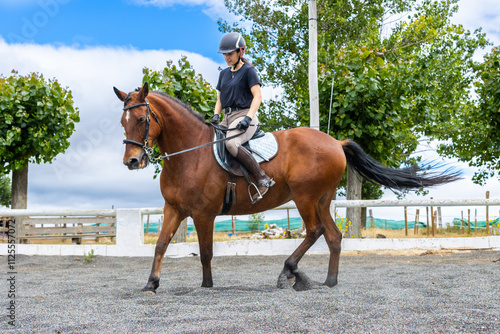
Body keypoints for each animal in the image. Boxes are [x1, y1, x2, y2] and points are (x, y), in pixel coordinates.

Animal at [114, 83, 460, 292]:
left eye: (142, 118)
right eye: (122, 122)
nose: (132, 161)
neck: (190, 153)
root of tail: (336, 142)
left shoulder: (203, 214)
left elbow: (206, 252)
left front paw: (207, 285)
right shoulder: (173, 208)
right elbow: (160, 245)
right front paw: (151, 284)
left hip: (305, 196)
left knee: (314, 231)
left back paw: (290, 272)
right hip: (321, 199)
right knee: (334, 236)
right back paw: (328, 281)